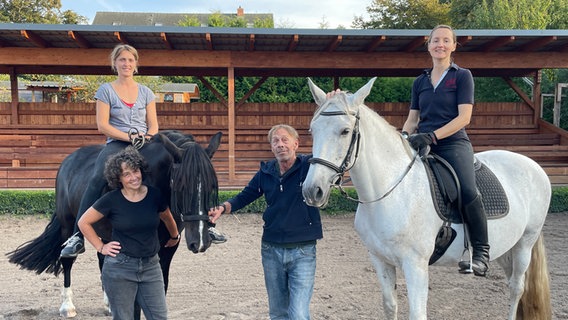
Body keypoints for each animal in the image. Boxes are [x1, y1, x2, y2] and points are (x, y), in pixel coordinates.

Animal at [7, 130, 220, 318]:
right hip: (68, 225)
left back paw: (109, 305)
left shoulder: (169, 245)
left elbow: (160, 286)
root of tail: (70, 159)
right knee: (67, 260)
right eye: (181, 185)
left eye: (211, 185)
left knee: (103, 260)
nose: (200, 242)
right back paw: (67, 306)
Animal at [304, 78, 552, 320]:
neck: (392, 193)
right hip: (506, 246)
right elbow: (390, 306)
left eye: (345, 131)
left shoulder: (416, 266)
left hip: (525, 243)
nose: (312, 190)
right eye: (312, 130)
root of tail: (531, 164)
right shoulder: (380, 259)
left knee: (517, 288)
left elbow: (417, 313)